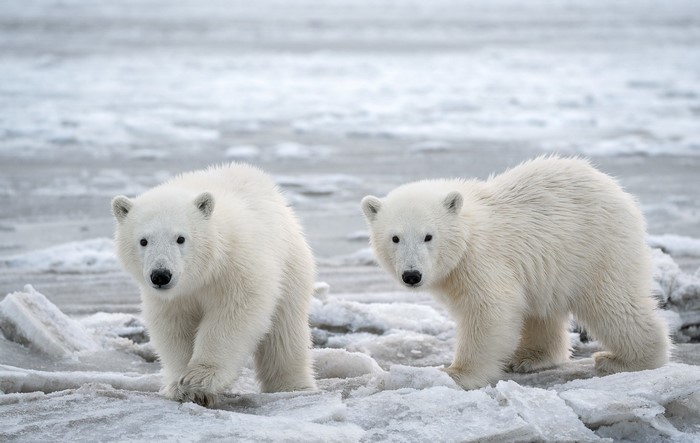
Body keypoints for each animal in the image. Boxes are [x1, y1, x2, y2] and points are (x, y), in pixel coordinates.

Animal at [112, 163, 317, 406]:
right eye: (143, 241)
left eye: (180, 238)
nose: (161, 275)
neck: (202, 274)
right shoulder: (172, 297)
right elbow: (173, 326)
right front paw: (181, 386)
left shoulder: (236, 268)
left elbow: (234, 315)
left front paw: (200, 378)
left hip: (290, 264)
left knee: (284, 333)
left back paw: (292, 386)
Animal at [361, 155, 671, 390]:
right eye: (395, 238)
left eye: (428, 236)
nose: (412, 275)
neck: (469, 233)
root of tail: (617, 190)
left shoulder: (483, 261)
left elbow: (489, 311)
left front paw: (455, 373)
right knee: (542, 310)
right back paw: (529, 358)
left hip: (596, 248)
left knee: (613, 303)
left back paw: (626, 360)